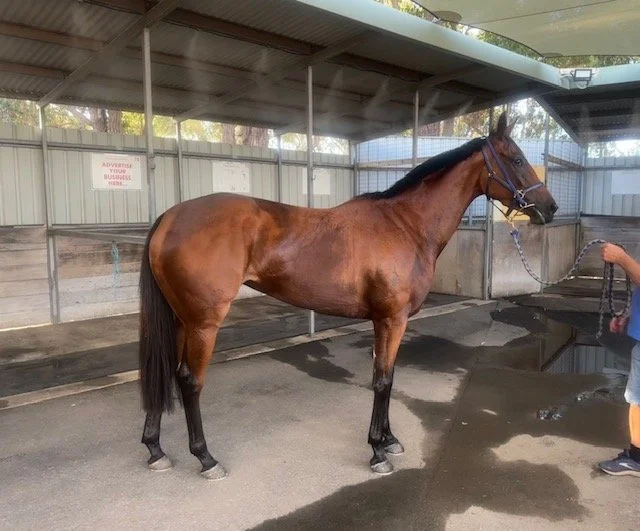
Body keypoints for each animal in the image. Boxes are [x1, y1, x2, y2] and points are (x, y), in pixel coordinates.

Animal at [138, 112, 558, 479]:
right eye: (517, 159)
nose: (550, 209)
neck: (406, 225)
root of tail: (170, 218)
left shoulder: (385, 321)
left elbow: (388, 376)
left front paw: (389, 440)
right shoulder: (391, 319)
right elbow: (382, 380)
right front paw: (377, 452)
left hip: (181, 319)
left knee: (166, 370)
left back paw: (156, 450)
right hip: (204, 323)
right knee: (190, 380)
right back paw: (206, 459)